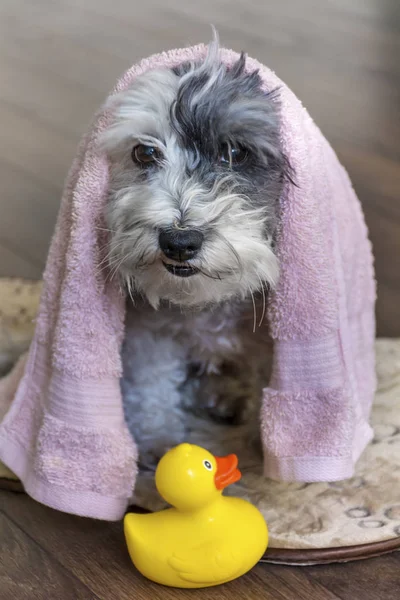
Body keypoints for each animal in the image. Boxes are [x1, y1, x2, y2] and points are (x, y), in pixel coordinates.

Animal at [100, 38, 294, 464]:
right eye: (145, 153)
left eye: (235, 153)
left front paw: (257, 448)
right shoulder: (147, 334)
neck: (205, 305)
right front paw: (160, 442)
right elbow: (151, 383)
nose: (178, 242)